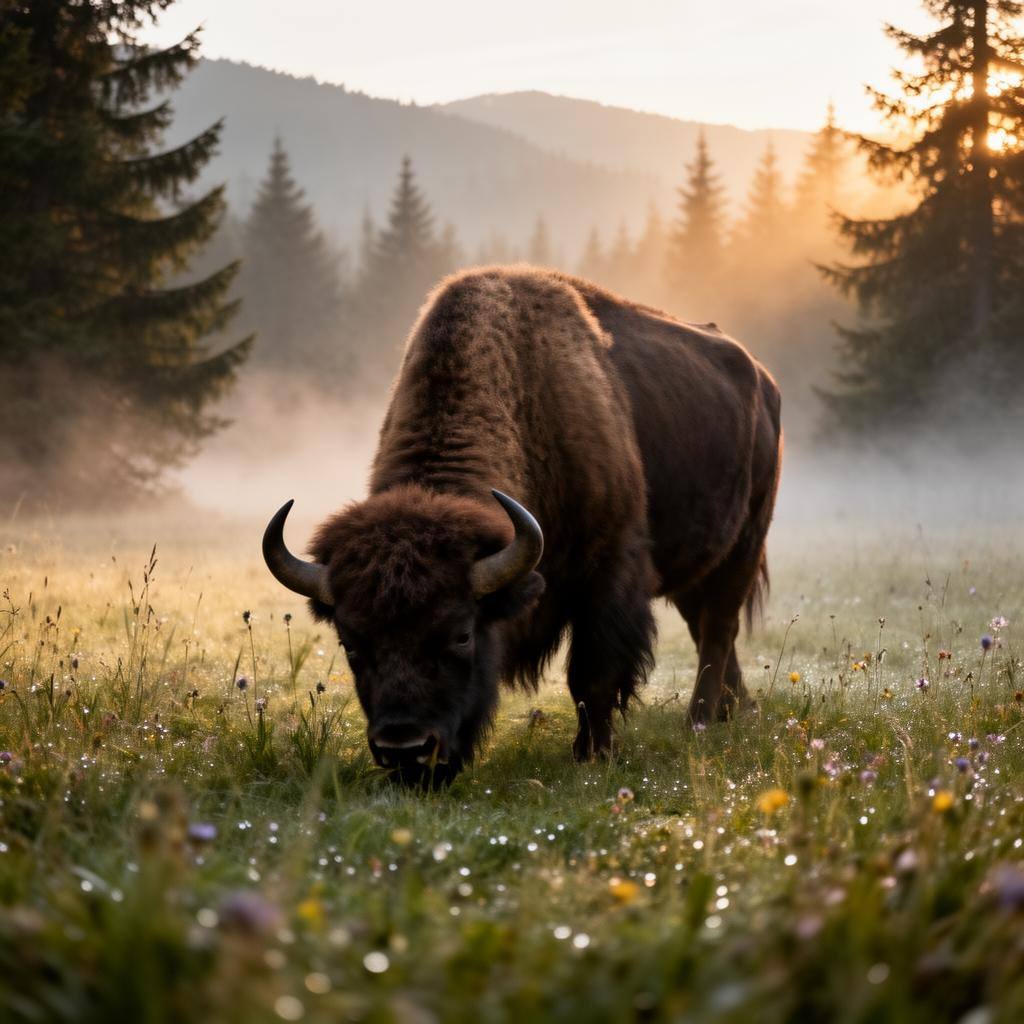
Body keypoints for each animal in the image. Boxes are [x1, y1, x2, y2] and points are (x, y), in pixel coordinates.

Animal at [264, 267, 782, 785]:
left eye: (462, 634)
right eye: (349, 643)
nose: (406, 751)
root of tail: (763, 377)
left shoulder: (610, 569)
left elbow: (592, 675)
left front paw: (593, 754)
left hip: (745, 544)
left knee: (717, 629)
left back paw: (698, 721)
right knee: (708, 630)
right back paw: (737, 711)